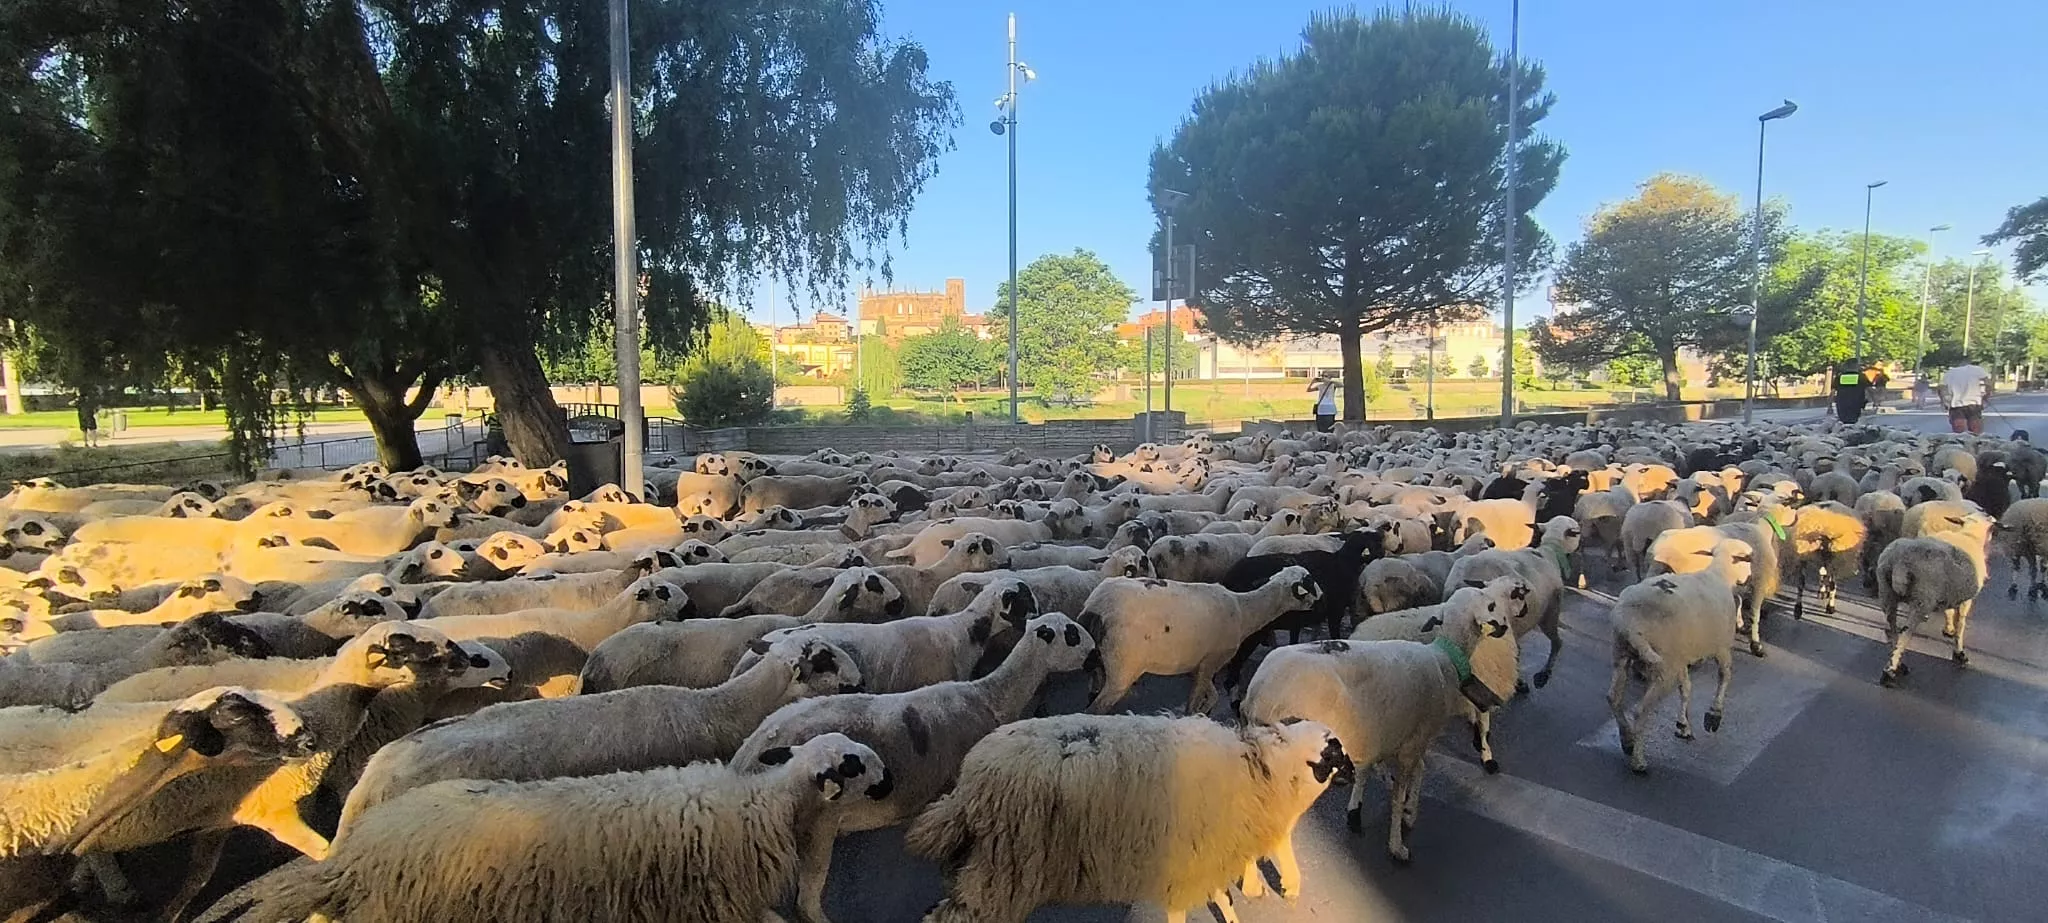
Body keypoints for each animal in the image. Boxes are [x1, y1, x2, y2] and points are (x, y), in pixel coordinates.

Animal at [733, 612, 1098, 923]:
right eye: (1071, 635)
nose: (1096, 656)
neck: (990, 697)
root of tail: (749, 754)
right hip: (818, 826)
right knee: (805, 904)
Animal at [905, 714, 1351, 923]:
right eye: (1335, 754)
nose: (1354, 772)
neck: (1261, 771)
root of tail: (968, 783)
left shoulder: (1204, 855)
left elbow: (1222, 897)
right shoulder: (1191, 861)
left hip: (985, 868)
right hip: (1001, 872)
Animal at [1079, 566, 1322, 715]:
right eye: (1309, 582)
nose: (1322, 597)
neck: (1243, 610)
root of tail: (1095, 609)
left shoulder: (1198, 666)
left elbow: (1206, 696)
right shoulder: (1211, 661)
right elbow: (1200, 698)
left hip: (1098, 667)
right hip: (1121, 668)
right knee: (1096, 708)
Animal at [1607, 538, 1755, 773]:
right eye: (1748, 559)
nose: (1749, 581)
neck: (1719, 575)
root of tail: (1630, 622)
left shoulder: (1681, 659)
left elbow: (1686, 688)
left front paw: (1683, 725)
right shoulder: (1721, 647)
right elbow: (1725, 676)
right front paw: (1713, 716)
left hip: (1621, 654)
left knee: (1613, 698)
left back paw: (1627, 741)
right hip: (1663, 668)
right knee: (1640, 711)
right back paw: (1638, 761)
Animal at [1873, 511, 1993, 686]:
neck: (1970, 535)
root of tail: (1901, 561)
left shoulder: (1950, 594)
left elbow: (1949, 613)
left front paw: (1948, 629)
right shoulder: (1966, 600)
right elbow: (1961, 624)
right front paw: (1959, 654)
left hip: (1886, 593)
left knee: (1892, 629)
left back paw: (1898, 664)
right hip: (1922, 600)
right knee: (1905, 633)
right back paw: (1890, 673)